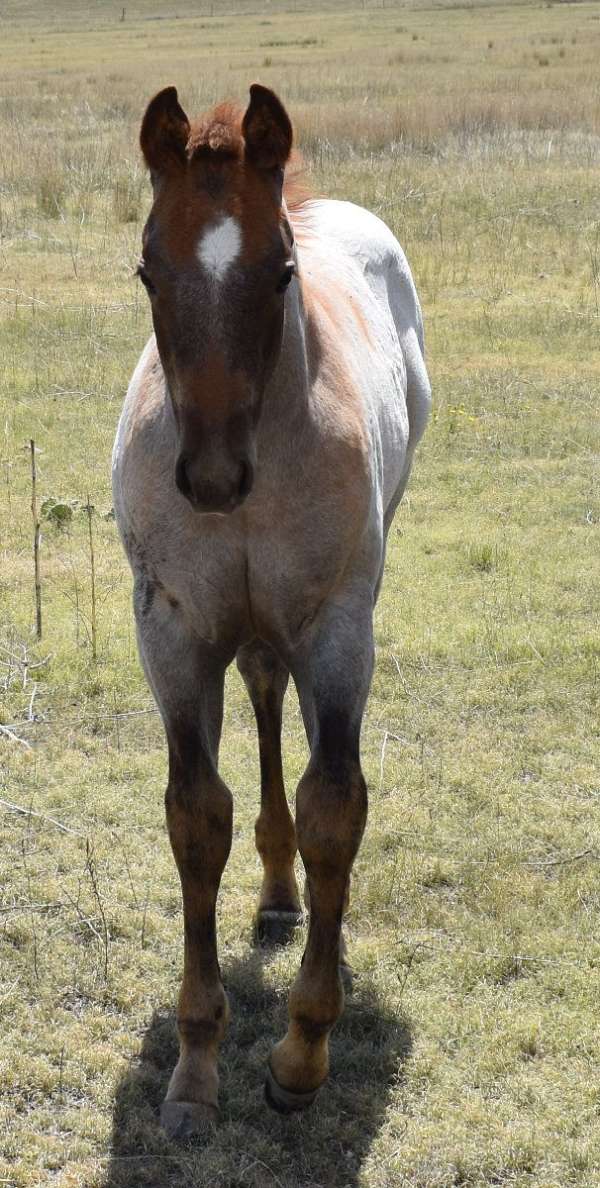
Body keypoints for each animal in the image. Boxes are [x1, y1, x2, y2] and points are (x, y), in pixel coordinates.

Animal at [112, 79, 430, 1135]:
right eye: (147, 267)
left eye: (282, 271)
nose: (211, 479)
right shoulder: (172, 628)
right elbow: (195, 815)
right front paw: (195, 1066)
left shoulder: (336, 625)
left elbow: (336, 806)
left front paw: (300, 1054)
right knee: (259, 683)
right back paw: (280, 887)